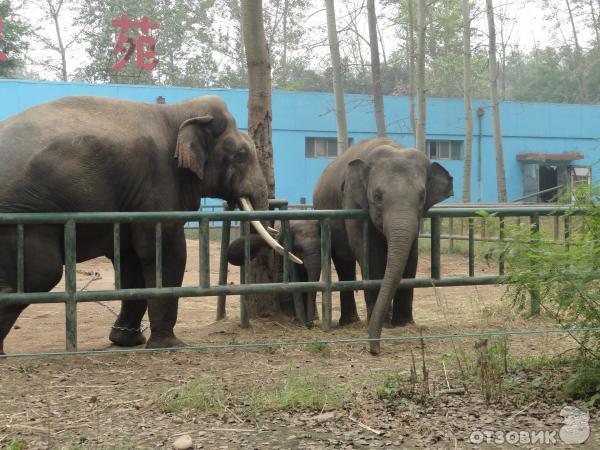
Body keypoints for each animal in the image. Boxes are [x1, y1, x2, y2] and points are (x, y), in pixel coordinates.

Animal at [312, 137, 452, 356]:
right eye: (377, 196)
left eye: (422, 196)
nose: (374, 350)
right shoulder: (352, 202)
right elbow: (370, 254)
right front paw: (385, 323)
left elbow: (411, 256)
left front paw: (404, 324)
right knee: (344, 264)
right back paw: (351, 322)